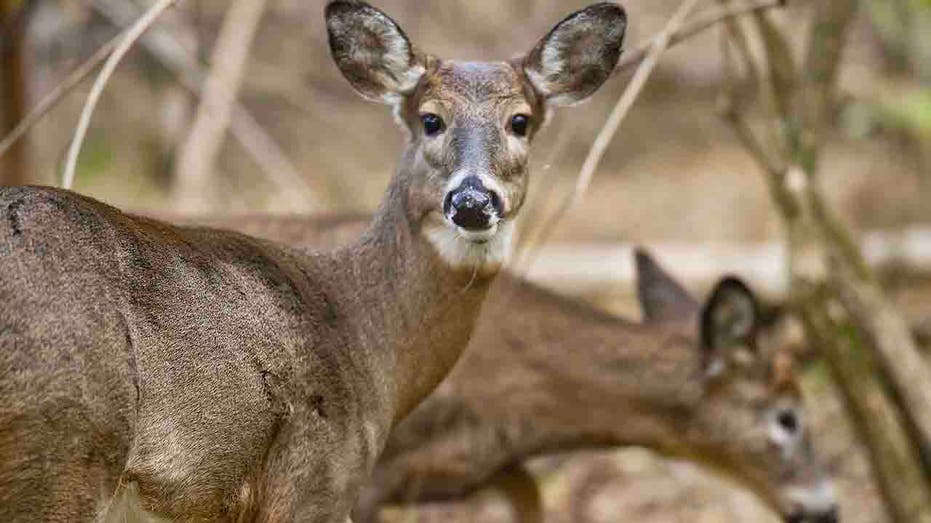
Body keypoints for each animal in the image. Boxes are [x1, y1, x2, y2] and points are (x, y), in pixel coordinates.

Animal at [0, 2, 627, 521]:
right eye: (430, 119)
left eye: (520, 121)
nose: (472, 201)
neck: (364, 334)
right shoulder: (317, 481)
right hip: (63, 450)